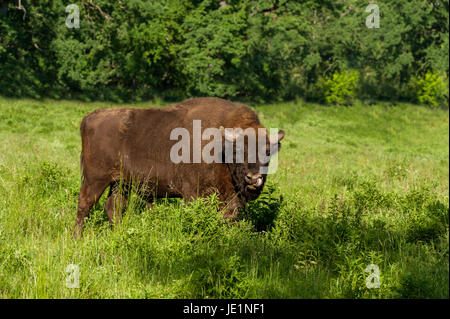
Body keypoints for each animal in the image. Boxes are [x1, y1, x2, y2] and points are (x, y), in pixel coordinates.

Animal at [74, 97, 284, 238]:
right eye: (238, 149)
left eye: (268, 151)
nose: (253, 178)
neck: (220, 147)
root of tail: (89, 117)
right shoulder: (194, 194)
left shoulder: (230, 199)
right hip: (96, 179)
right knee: (85, 204)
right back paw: (78, 238)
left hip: (120, 182)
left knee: (114, 206)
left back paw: (118, 232)